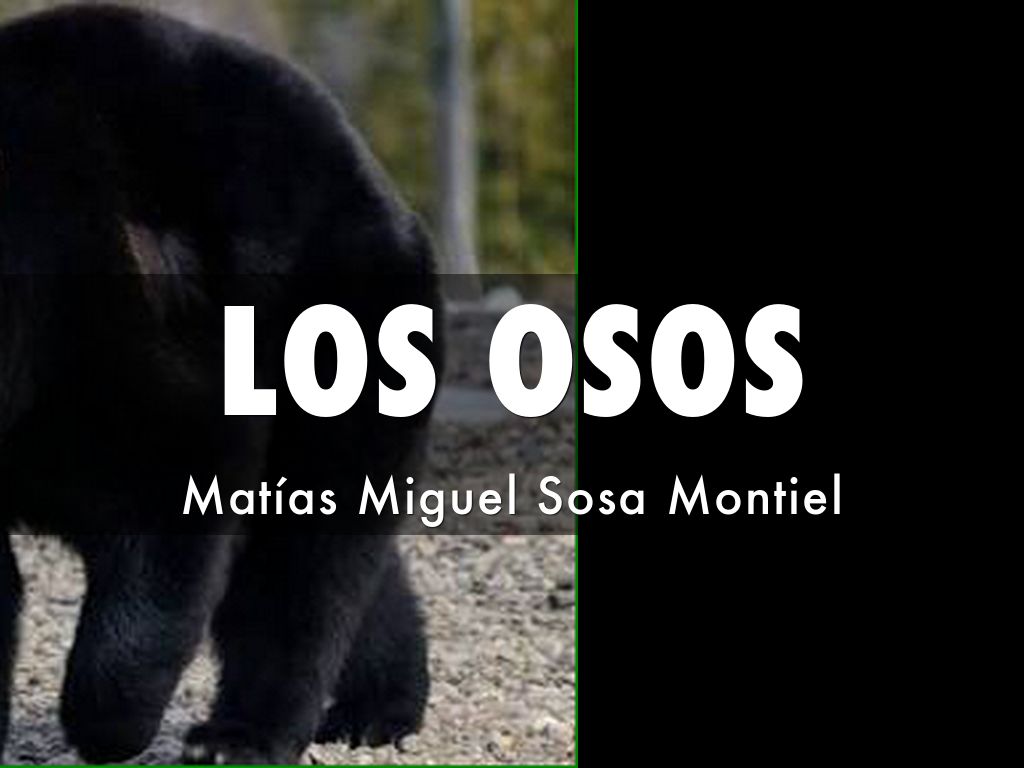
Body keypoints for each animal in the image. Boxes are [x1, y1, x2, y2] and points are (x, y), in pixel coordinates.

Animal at [0, 3, 441, 764]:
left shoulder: (81, 311)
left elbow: (175, 467)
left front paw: (107, 722)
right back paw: (378, 705)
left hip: (333, 316)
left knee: (306, 560)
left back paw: (245, 734)